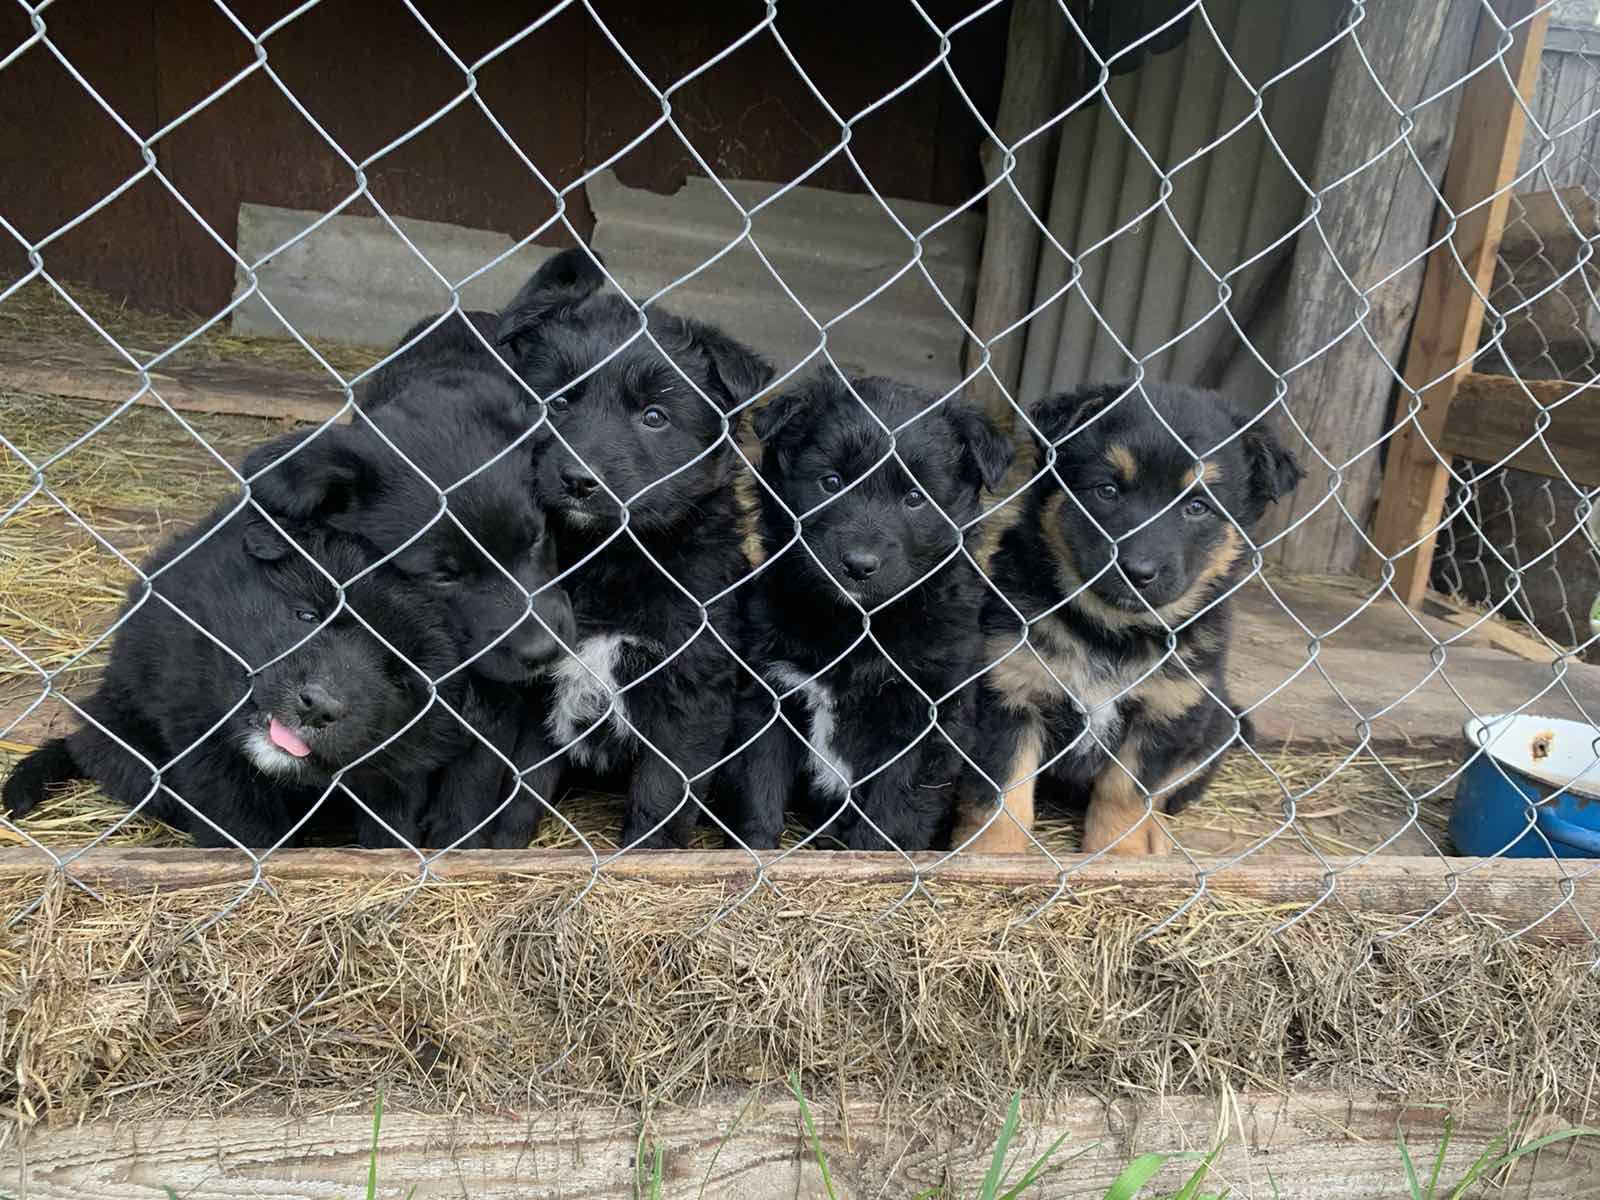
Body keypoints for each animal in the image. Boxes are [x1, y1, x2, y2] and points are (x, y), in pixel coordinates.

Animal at [3, 512, 467, 851]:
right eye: (308, 615)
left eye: (398, 677)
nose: (319, 706)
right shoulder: (202, 735)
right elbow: (242, 827)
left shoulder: (398, 774)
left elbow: (390, 827)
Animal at [499, 246, 774, 844]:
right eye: (558, 401)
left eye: (654, 417)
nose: (579, 481)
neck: (608, 558)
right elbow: (520, 785)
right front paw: (496, 846)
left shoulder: (691, 691)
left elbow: (661, 796)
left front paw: (646, 853)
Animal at [726, 376, 1011, 857]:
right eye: (831, 482)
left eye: (915, 498)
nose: (859, 565)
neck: (853, 624)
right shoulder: (769, 695)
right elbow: (759, 789)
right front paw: (755, 851)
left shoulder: (923, 723)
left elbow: (890, 815)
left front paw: (868, 857)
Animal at [947, 380, 1299, 857]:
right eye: (1107, 490)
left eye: (1197, 507)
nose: (1138, 571)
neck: (1112, 633)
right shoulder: (1009, 690)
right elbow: (1003, 791)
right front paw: (993, 854)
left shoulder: (1168, 711)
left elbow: (1125, 793)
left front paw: (1118, 855)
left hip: (1217, 725)